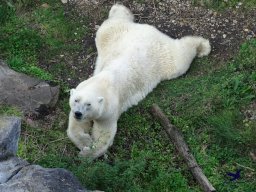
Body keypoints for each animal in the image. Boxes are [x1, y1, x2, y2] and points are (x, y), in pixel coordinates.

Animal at [67, 3, 211, 159]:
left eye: (89, 104)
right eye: (76, 100)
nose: (78, 113)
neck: (102, 82)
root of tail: (149, 30)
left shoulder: (109, 109)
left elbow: (104, 135)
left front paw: (87, 153)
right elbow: (74, 126)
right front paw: (85, 141)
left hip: (164, 57)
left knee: (180, 58)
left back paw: (202, 46)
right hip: (115, 36)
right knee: (110, 26)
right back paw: (119, 9)